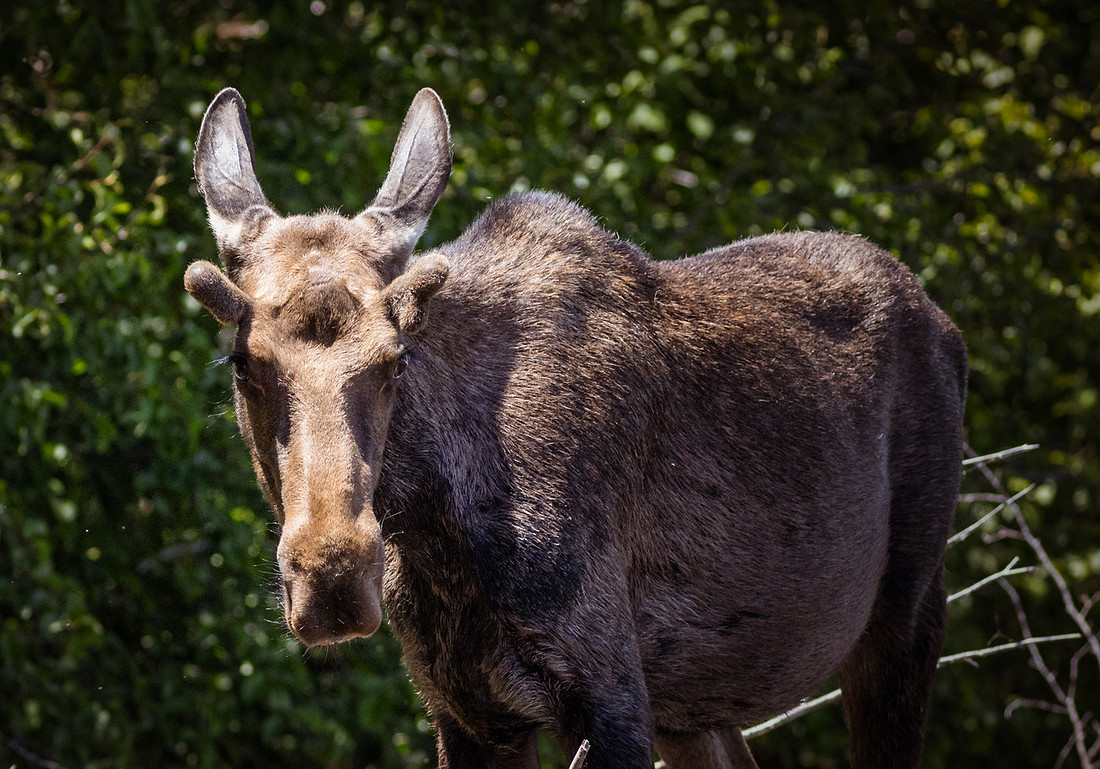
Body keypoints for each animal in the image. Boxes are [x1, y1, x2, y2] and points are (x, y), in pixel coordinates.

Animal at [185, 86, 966, 769]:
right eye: (242, 360)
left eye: (398, 356)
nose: (333, 574)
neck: (438, 527)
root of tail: (948, 327)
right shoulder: (466, 711)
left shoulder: (607, 693)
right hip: (694, 703)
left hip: (905, 612)